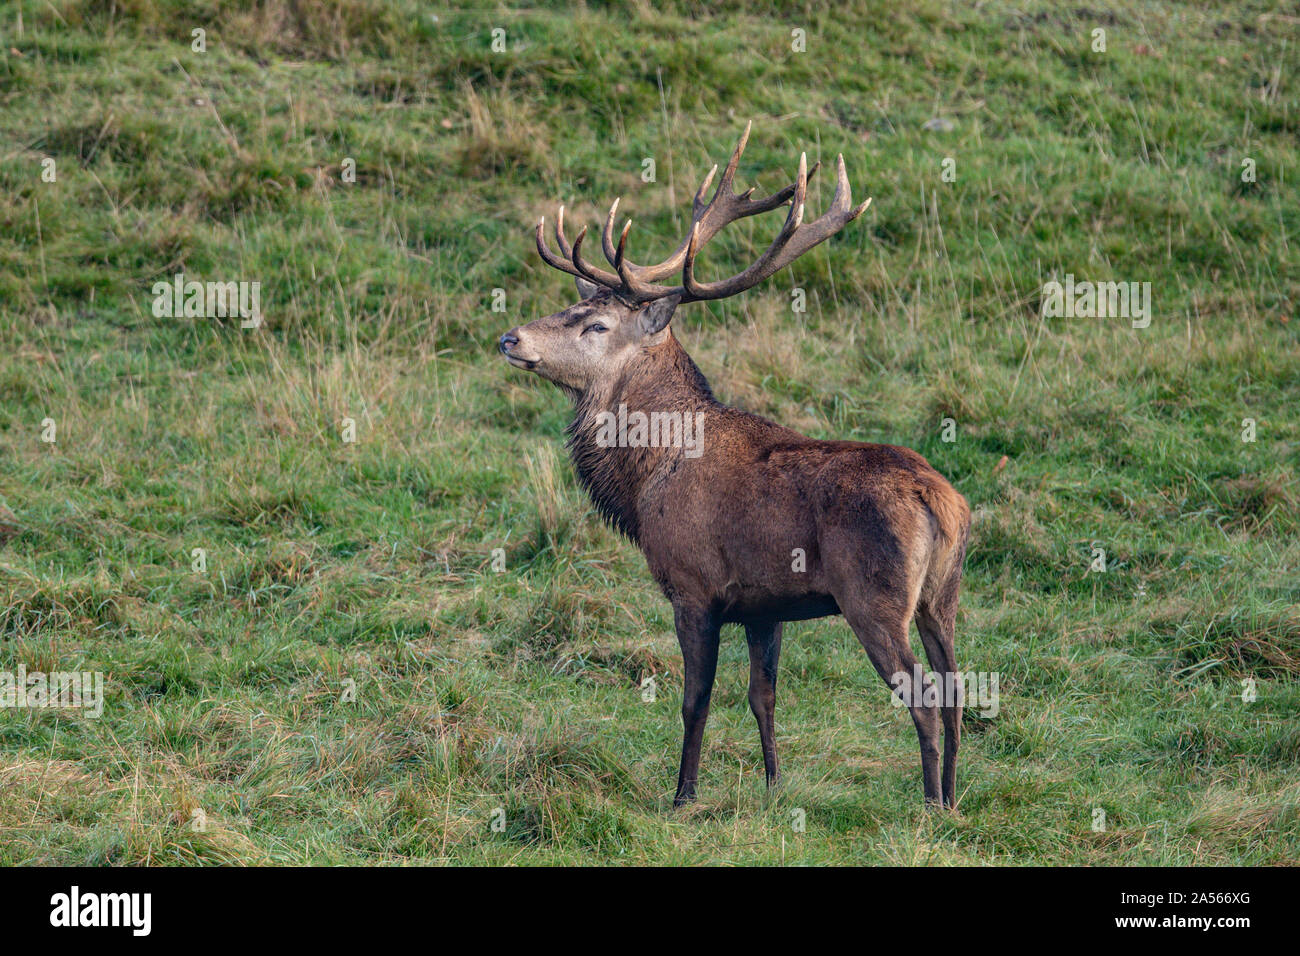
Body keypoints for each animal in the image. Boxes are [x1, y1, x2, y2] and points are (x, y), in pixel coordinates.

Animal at [499, 123, 971, 809]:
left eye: (596, 324)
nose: (510, 338)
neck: (646, 480)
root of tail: (941, 502)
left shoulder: (693, 586)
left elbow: (695, 700)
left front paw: (683, 796)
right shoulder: (763, 604)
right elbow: (762, 697)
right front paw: (774, 787)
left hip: (875, 596)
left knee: (926, 696)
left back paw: (930, 805)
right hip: (944, 595)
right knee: (961, 690)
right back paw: (956, 798)